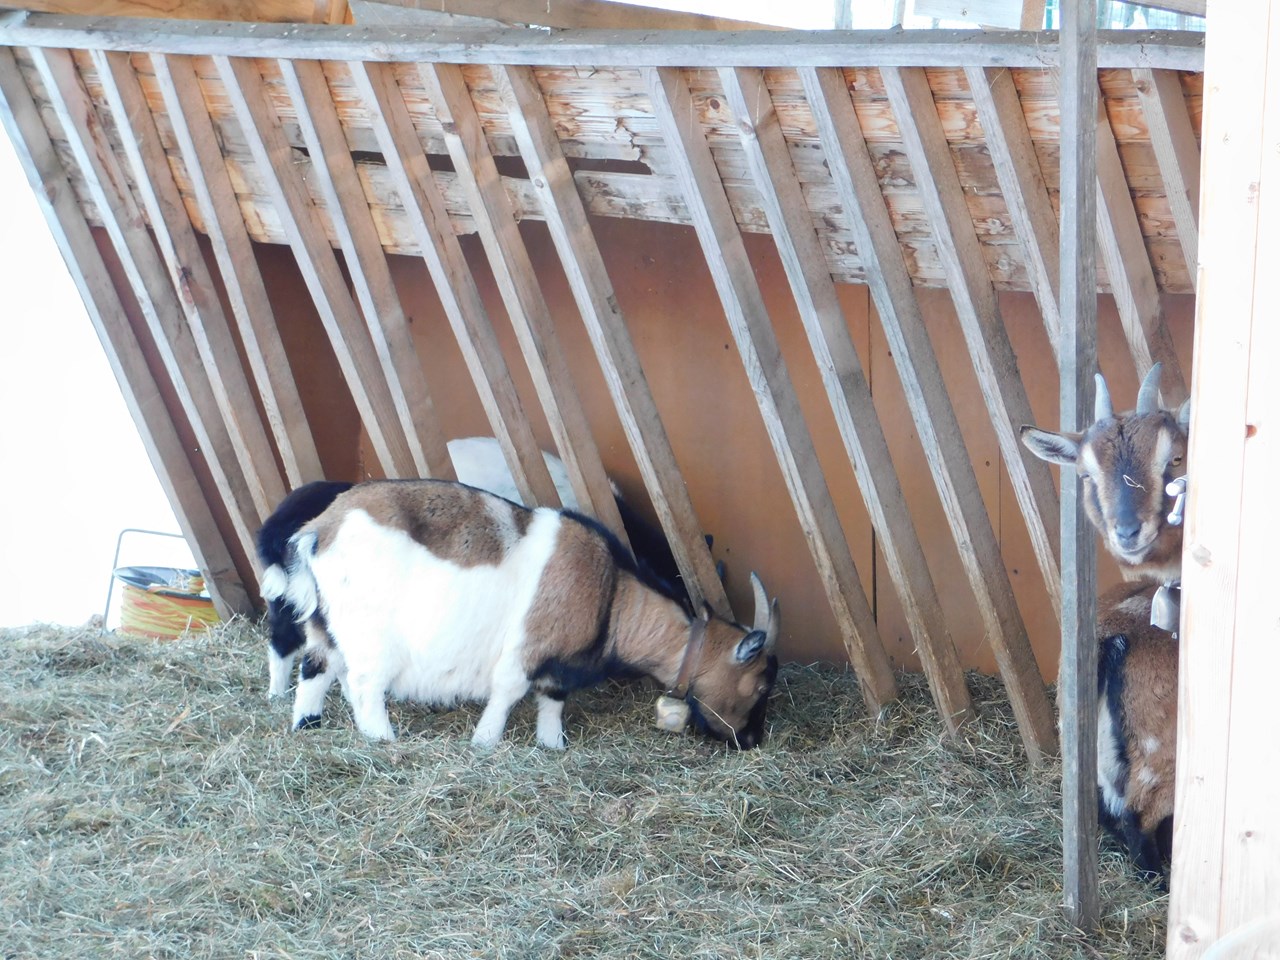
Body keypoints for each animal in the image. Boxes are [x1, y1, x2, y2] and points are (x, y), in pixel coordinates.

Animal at [267, 479, 779, 749]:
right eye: (758, 687)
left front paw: (553, 745)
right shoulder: (526, 648)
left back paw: (306, 725)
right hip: (369, 635)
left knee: (315, 668)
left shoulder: (558, 668)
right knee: (363, 685)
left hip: (324, 624)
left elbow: (552, 700)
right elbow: (509, 691)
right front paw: (484, 742)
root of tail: (321, 530)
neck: (613, 594)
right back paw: (383, 741)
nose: (752, 739)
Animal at [1020, 363, 1188, 882]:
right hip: (1162, 758)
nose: (1128, 532)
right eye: (1087, 473)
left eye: (1174, 458)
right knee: (1138, 822)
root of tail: (1111, 640)